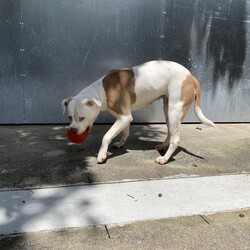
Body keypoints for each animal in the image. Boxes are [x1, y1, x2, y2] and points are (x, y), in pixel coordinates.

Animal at [62, 61, 215, 164]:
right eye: (70, 117)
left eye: (82, 118)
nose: (73, 130)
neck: (102, 90)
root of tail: (191, 77)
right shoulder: (124, 118)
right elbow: (125, 132)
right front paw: (120, 144)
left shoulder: (124, 117)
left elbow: (106, 136)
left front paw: (101, 155)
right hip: (168, 110)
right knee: (171, 132)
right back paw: (162, 146)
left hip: (174, 110)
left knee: (175, 139)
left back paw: (164, 159)